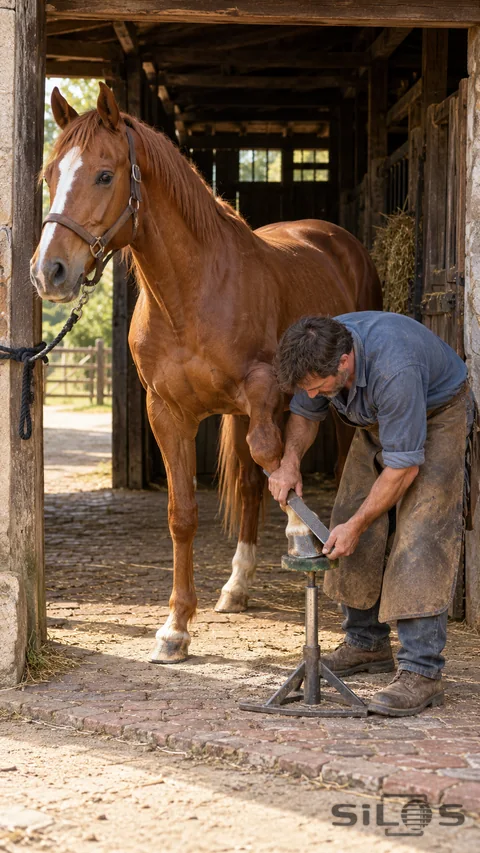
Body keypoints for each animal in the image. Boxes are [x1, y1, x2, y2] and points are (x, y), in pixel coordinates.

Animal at [31, 82, 382, 664]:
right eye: (50, 174)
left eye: (104, 175)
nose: (49, 272)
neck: (190, 295)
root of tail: (336, 239)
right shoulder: (168, 412)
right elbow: (185, 513)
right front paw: (175, 628)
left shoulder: (261, 391)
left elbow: (273, 460)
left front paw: (303, 536)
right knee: (249, 482)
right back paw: (238, 586)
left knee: (318, 459)